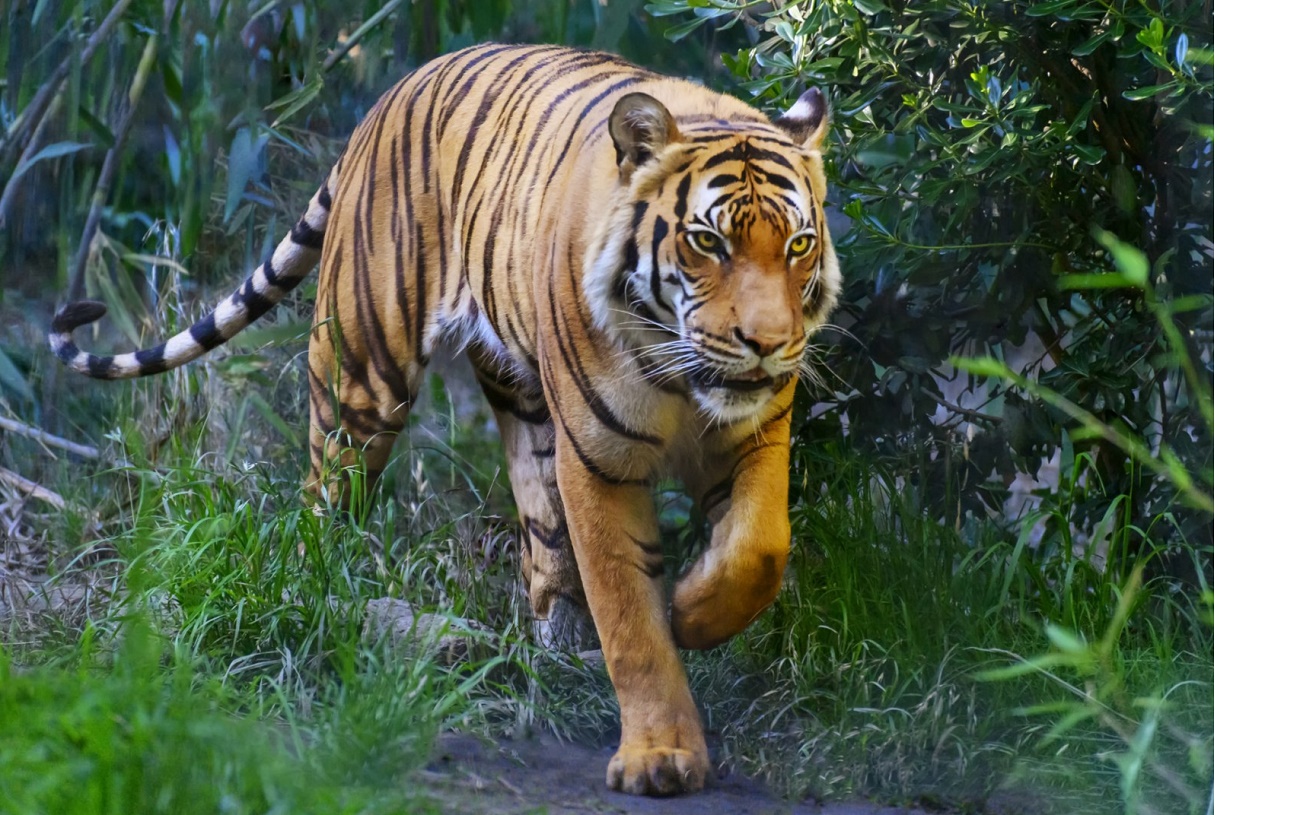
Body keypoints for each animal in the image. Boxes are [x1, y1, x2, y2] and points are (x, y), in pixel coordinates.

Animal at [49, 43, 839, 796]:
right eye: (709, 242)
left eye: (798, 245)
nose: (768, 343)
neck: (684, 379)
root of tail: (395, 91)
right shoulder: (601, 461)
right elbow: (631, 621)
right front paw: (660, 754)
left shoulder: (756, 432)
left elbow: (758, 548)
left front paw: (694, 610)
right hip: (360, 376)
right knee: (322, 498)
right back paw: (308, 596)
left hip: (522, 399)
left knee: (540, 530)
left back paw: (562, 642)